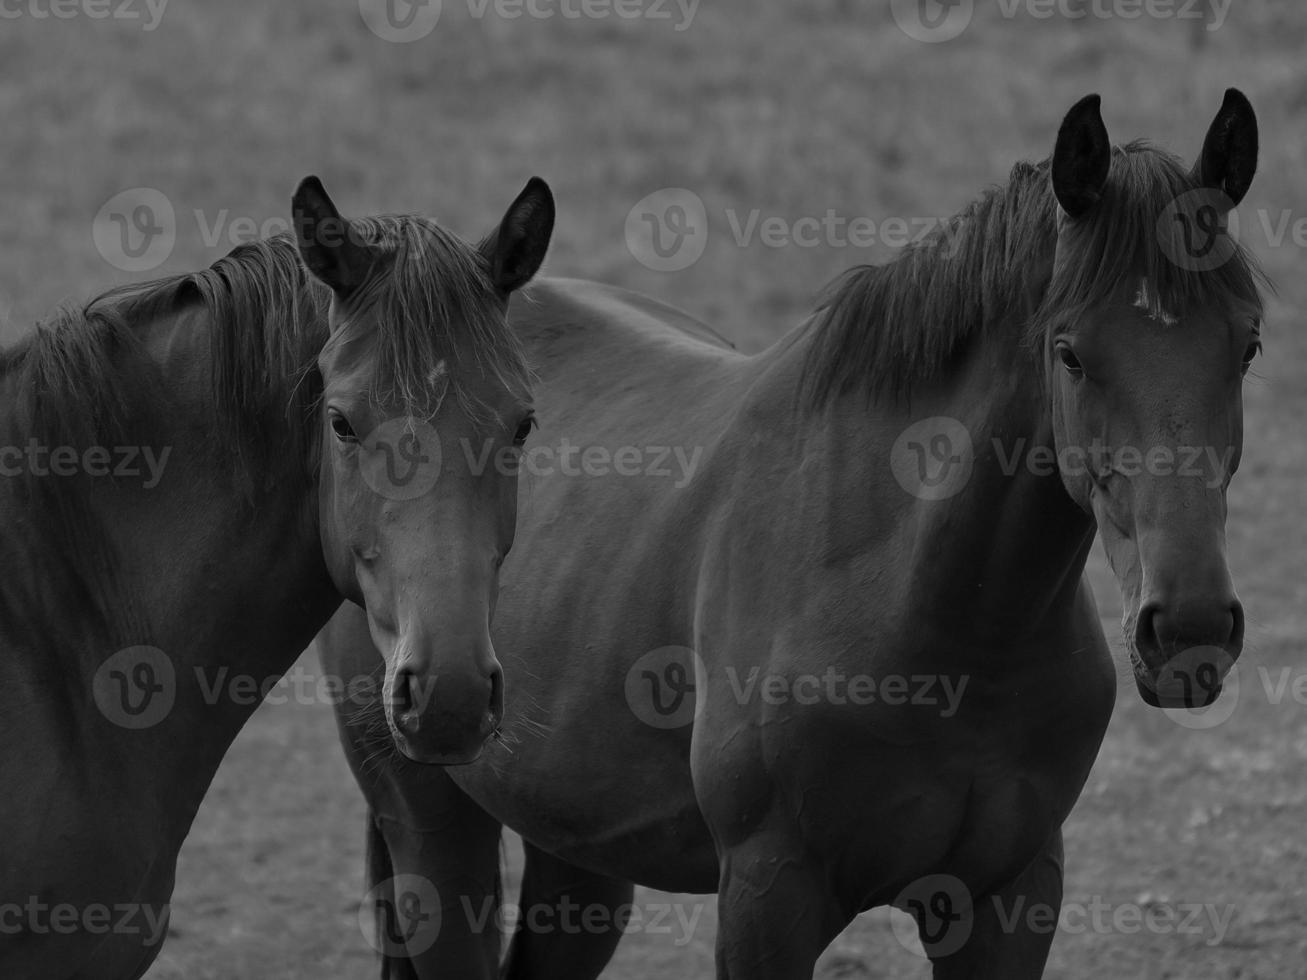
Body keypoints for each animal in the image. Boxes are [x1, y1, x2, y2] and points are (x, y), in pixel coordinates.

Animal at [318, 88, 1265, 977]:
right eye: (1069, 352)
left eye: (1248, 345)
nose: (1187, 627)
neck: (929, 613)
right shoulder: (769, 897)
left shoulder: (1009, 898)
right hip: (433, 827)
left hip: (578, 851)